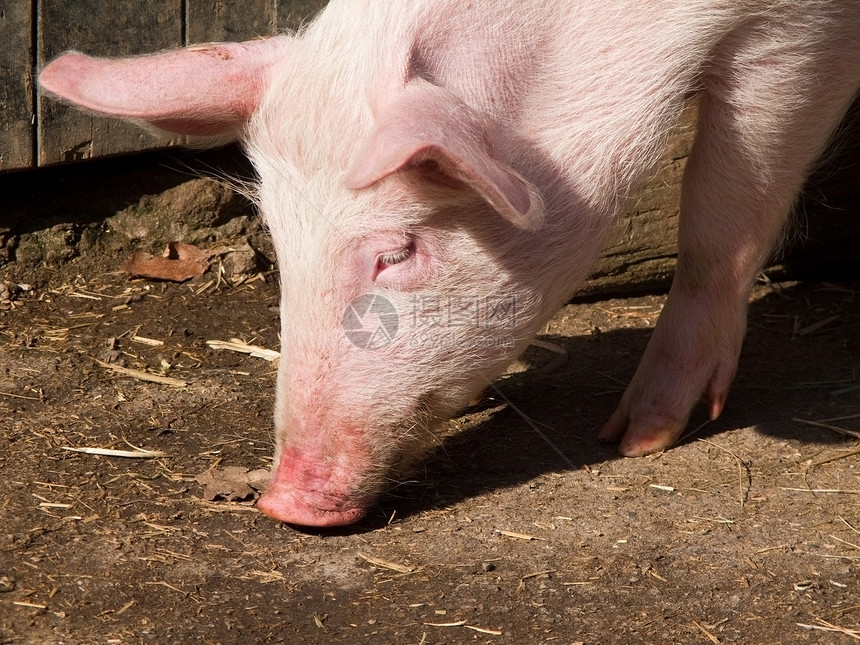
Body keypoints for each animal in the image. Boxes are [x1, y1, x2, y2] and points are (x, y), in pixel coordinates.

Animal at [38, 2, 860, 524]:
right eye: (279, 239)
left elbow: (725, 206)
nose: (282, 505)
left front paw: (636, 439)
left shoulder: (797, 33)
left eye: (394, 252)